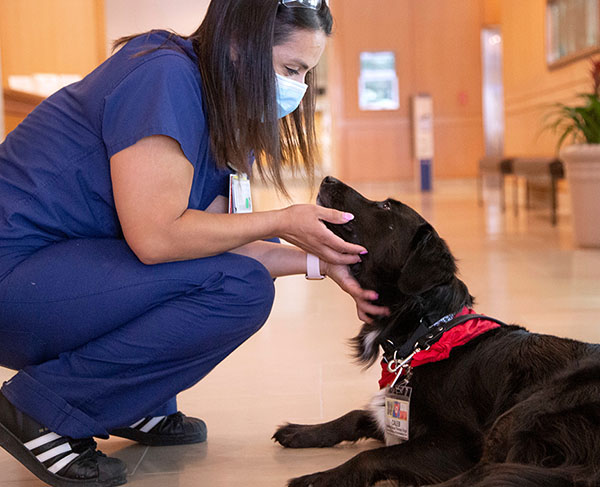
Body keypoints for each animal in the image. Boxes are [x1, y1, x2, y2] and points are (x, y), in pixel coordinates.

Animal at [274, 177, 600, 487]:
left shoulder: (455, 445)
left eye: (386, 207)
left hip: (523, 412)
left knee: (485, 474)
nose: (328, 178)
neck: (430, 333)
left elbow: (370, 457)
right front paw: (301, 431)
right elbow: (355, 416)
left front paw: (318, 478)